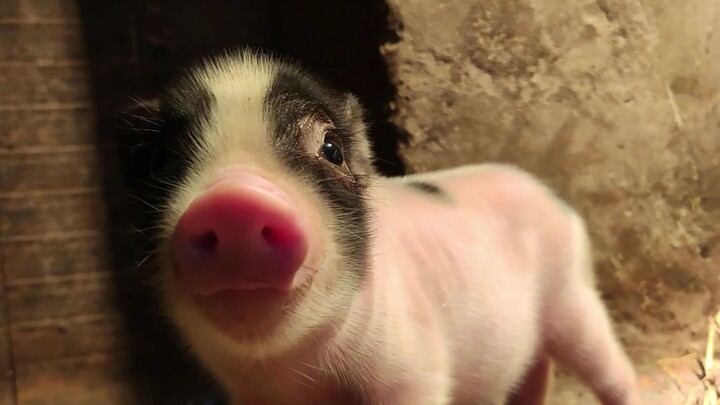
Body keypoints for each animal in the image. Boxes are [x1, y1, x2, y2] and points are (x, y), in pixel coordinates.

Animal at [126, 49, 643, 405]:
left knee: (610, 369)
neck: (297, 373)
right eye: (160, 161)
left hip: (574, 297)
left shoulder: (411, 366)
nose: (235, 199)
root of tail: (549, 194)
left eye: (331, 148)